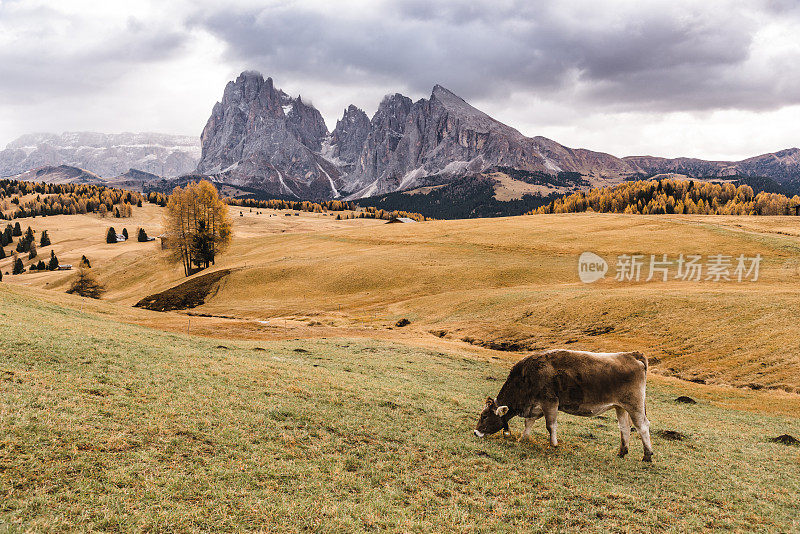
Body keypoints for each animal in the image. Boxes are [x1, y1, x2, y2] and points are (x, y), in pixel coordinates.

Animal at [472, 350, 652, 462]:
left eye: (485, 416)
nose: (475, 432)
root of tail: (631, 355)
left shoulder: (550, 401)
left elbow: (550, 425)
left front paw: (553, 444)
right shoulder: (534, 406)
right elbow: (528, 423)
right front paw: (522, 438)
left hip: (634, 404)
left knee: (642, 426)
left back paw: (647, 456)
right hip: (620, 406)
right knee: (624, 428)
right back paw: (622, 452)